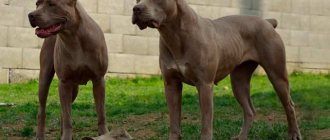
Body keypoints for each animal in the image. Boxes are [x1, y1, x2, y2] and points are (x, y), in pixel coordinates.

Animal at [28, 0, 108, 139]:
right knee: (43, 111)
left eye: (52, 4)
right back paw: (41, 135)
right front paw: (66, 135)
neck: (74, 37)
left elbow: (101, 112)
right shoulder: (64, 82)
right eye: (37, 4)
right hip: (44, 78)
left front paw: (104, 133)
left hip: (74, 89)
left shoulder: (99, 80)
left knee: (63, 110)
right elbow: (67, 116)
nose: (30, 15)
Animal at [132, 0, 302, 140]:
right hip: (239, 82)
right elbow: (174, 122)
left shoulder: (205, 85)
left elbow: (206, 123)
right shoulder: (171, 85)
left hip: (277, 75)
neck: (175, 35)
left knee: (289, 105)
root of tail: (267, 22)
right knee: (249, 110)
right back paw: (241, 137)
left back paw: (294, 134)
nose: (136, 8)